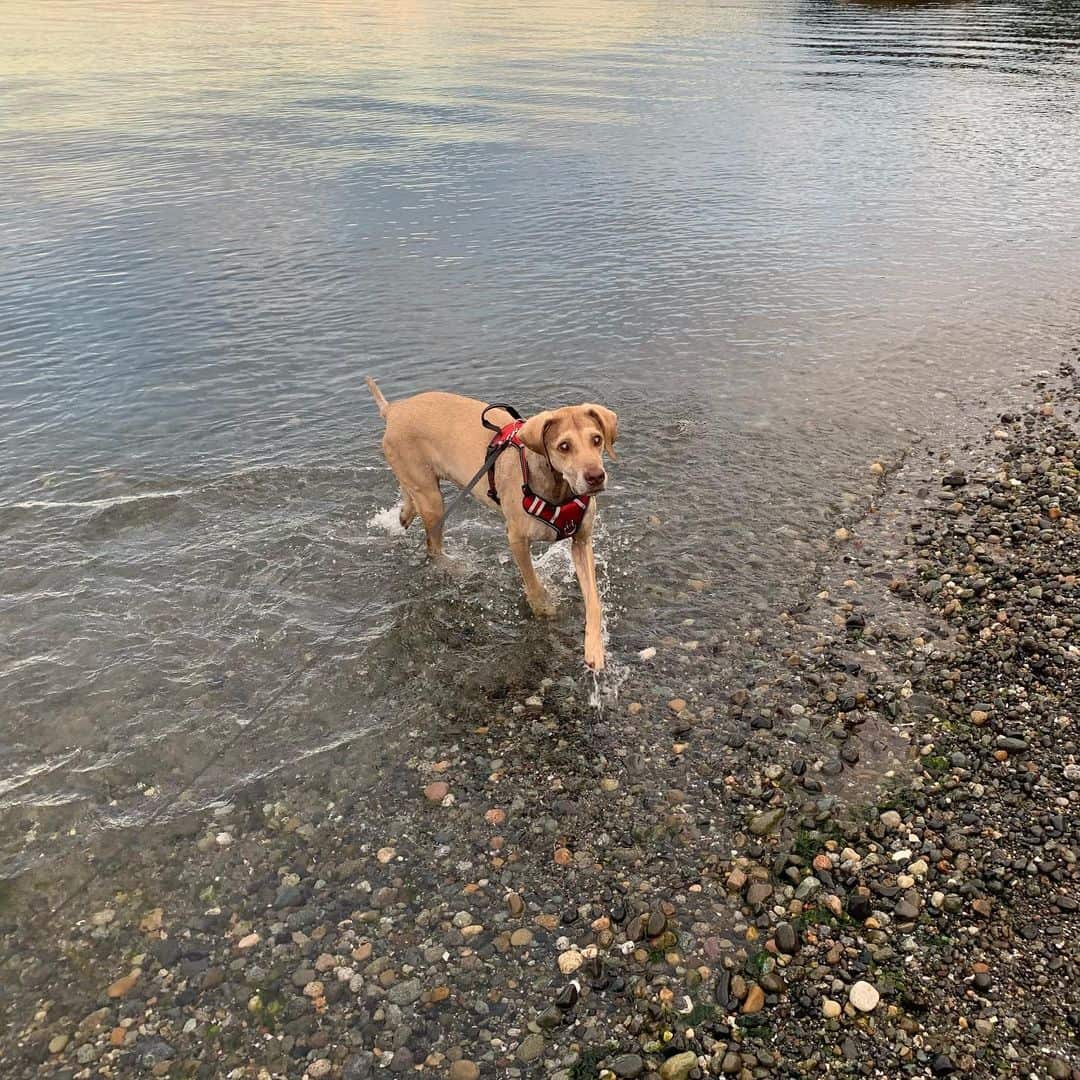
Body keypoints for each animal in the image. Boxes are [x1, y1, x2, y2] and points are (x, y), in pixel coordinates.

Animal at [367, 378, 617, 665]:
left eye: (597, 439)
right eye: (564, 446)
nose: (596, 477)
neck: (558, 490)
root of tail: (393, 410)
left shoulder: (581, 540)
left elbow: (594, 602)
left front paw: (595, 649)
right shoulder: (516, 539)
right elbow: (532, 582)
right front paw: (543, 607)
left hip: (419, 485)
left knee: (408, 497)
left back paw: (405, 514)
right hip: (433, 502)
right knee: (432, 546)